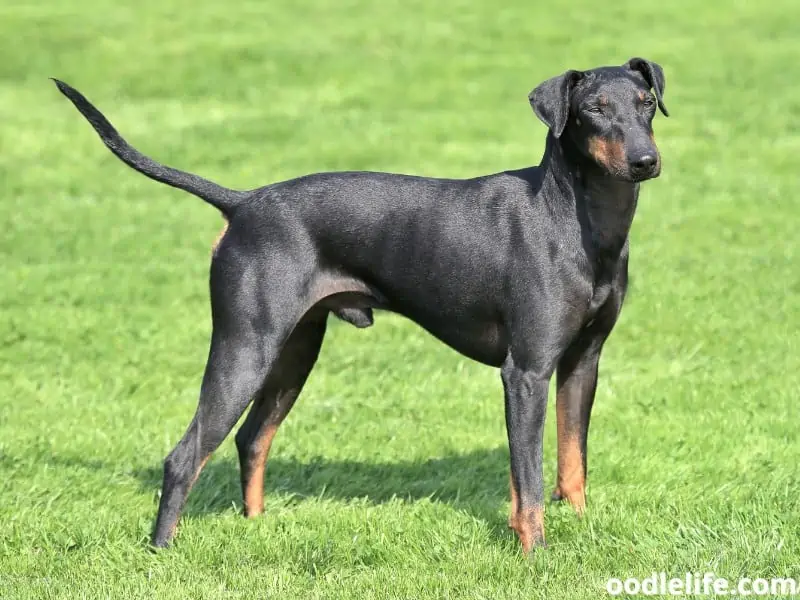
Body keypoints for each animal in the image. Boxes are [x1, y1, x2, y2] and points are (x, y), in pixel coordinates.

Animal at [53, 58, 668, 556]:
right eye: (593, 109)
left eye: (645, 103)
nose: (646, 160)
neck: (579, 221)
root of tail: (243, 202)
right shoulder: (527, 373)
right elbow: (530, 481)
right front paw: (535, 554)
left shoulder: (582, 362)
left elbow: (572, 462)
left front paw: (582, 529)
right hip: (245, 348)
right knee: (185, 456)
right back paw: (161, 552)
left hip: (294, 350)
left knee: (252, 439)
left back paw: (258, 526)